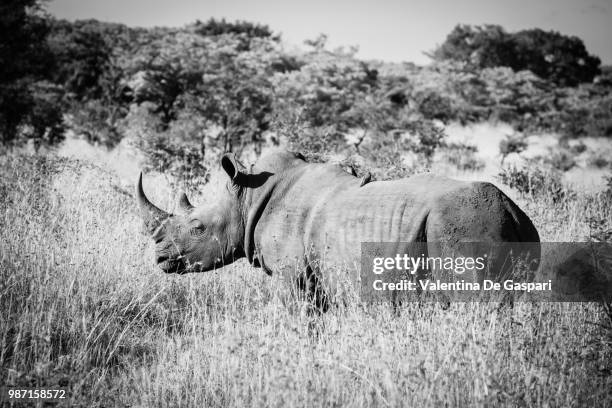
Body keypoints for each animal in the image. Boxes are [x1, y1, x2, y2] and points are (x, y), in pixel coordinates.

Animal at [136, 150, 536, 310]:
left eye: (197, 228)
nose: (159, 256)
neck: (246, 200)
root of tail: (511, 211)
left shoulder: (291, 274)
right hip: (514, 227)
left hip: (461, 221)